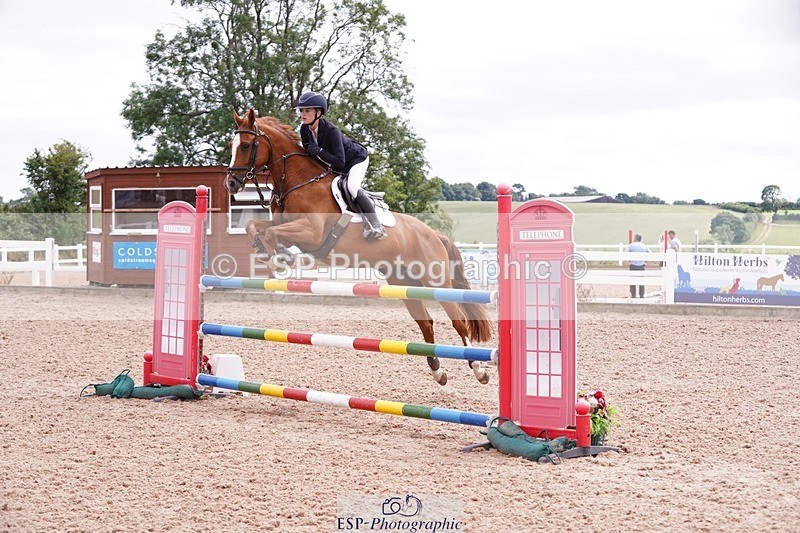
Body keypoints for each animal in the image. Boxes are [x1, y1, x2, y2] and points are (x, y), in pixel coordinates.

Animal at [224, 108, 492, 386]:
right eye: (231, 145)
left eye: (246, 145)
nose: (231, 184)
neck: (299, 180)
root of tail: (434, 234)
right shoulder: (287, 227)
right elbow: (256, 227)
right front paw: (270, 251)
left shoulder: (311, 232)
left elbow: (272, 232)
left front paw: (279, 258)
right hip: (404, 282)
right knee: (426, 322)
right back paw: (438, 371)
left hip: (435, 281)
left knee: (458, 322)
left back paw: (479, 370)